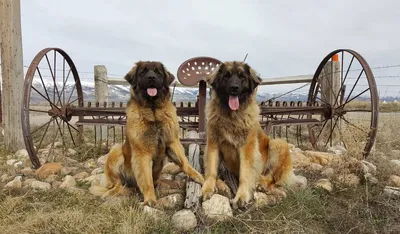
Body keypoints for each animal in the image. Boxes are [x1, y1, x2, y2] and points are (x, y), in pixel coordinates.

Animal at [90, 61, 203, 206]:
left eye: (158, 72)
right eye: (142, 72)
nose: (151, 78)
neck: (153, 110)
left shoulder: (172, 142)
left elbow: (184, 162)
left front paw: (198, 176)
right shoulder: (142, 153)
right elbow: (146, 179)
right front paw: (150, 199)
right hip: (116, 151)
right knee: (118, 184)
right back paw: (113, 192)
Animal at [200, 60, 294, 208]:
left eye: (241, 77)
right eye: (226, 76)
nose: (234, 88)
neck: (231, 116)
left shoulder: (247, 148)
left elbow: (245, 173)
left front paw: (241, 196)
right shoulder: (213, 144)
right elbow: (211, 170)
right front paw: (208, 188)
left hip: (278, 143)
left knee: (273, 178)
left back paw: (262, 182)